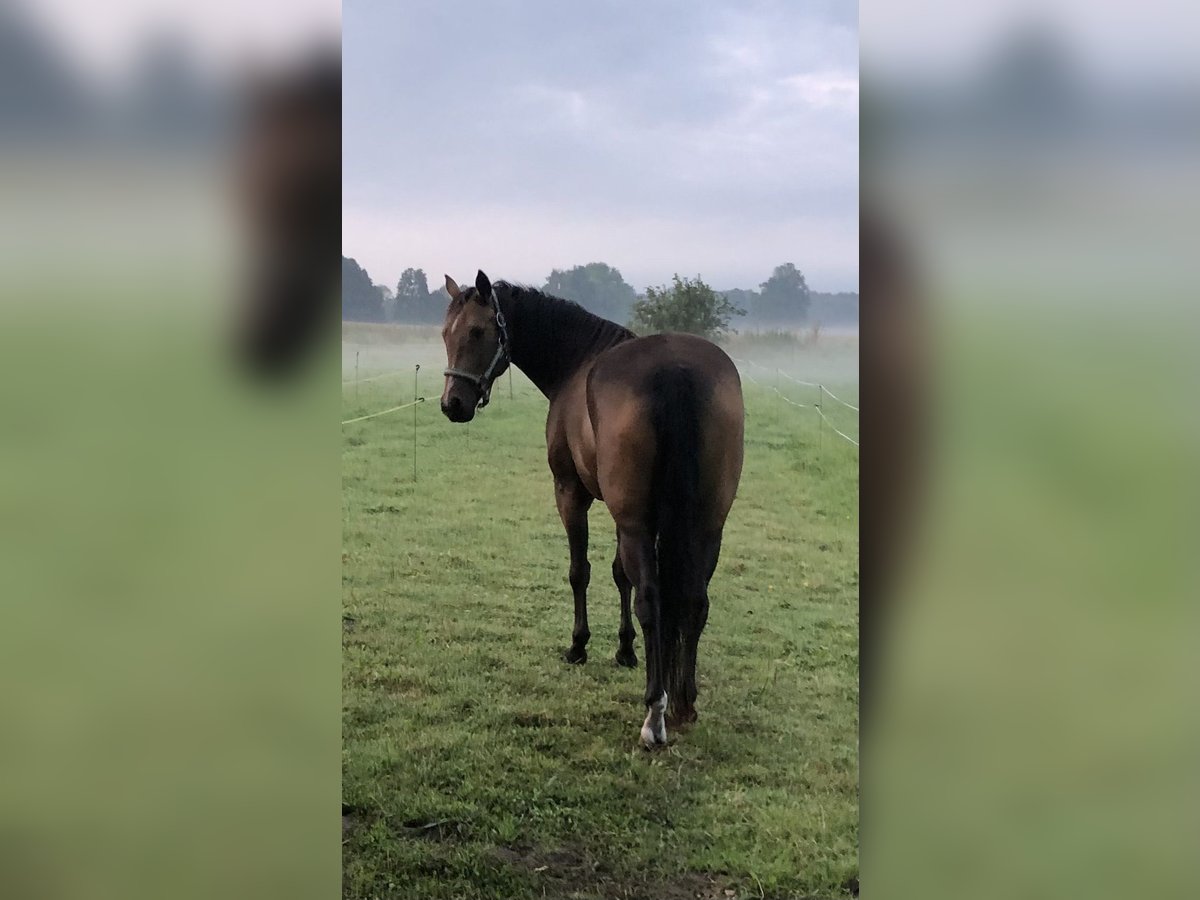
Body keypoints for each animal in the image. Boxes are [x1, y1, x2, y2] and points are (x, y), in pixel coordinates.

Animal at [439, 271, 739, 748]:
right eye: (445, 334)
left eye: (477, 331)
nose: (453, 404)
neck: (576, 361)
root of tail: (676, 371)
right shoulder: (630, 517)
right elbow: (620, 575)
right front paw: (625, 649)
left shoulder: (572, 493)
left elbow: (581, 571)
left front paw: (579, 646)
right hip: (708, 525)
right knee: (694, 599)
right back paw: (684, 703)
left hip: (638, 523)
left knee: (652, 599)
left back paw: (654, 715)